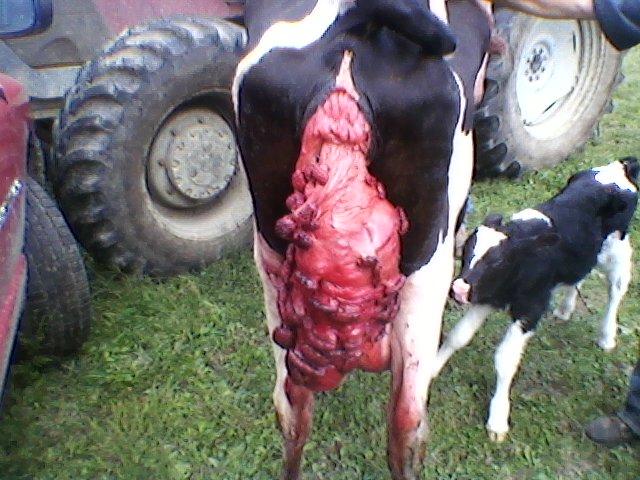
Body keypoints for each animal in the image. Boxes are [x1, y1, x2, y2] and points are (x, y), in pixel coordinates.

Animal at [432, 157, 639, 442]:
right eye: (466, 251)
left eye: (498, 261)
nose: (459, 290)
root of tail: (619, 166)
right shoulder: (487, 296)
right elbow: (458, 336)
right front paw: (430, 370)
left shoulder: (531, 308)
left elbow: (505, 359)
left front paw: (498, 420)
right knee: (579, 276)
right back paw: (565, 309)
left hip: (618, 247)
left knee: (616, 288)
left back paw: (607, 336)